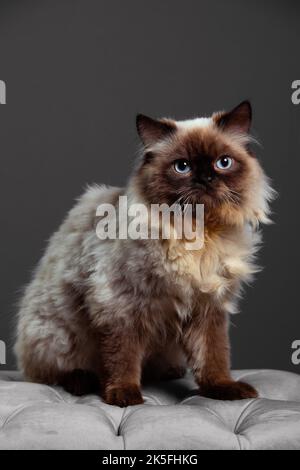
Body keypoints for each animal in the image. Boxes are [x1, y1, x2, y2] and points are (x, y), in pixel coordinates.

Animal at [14, 101, 274, 406]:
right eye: (182, 167)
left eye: (223, 162)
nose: (205, 178)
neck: (198, 233)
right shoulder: (120, 304)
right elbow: (123, 358)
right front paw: (124, 395)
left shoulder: (208, 307)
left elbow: (213, 357)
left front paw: (223, 389)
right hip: (56, 334)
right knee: (54, 373)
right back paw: (83, 381)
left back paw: (168, 372)